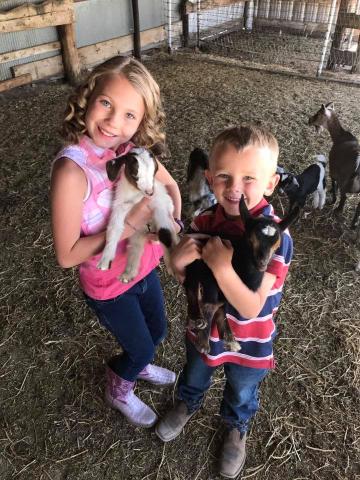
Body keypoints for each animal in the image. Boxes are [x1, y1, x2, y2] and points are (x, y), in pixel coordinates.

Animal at [97, 146, 178, 282]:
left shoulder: (159, 205)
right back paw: (127, 275)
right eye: (135, 174)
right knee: (134, 250)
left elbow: (165, 232)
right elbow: (114, 228)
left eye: (155, 171)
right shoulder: (119, 207)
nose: (150, 192)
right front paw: (105, 261)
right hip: (136, 236)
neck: (136, 194)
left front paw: (174, 264)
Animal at [183, 197, 298, 354]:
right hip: (194, 267)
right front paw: (203, 344)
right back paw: (197, 319)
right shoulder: (212, 277)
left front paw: (227, 338)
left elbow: (219, 304)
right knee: (191, 287)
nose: (262, 263)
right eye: (249, 239)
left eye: (277, 245)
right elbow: (210, 304)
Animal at [306, 101, 360, 229]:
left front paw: (332, 198)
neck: (339, 137)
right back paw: (354, 224)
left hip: (345, 183)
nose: (309, 120)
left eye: (318, 113)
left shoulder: (334, 169)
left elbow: (334, 183)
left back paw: (338, 210)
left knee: (344, 197)